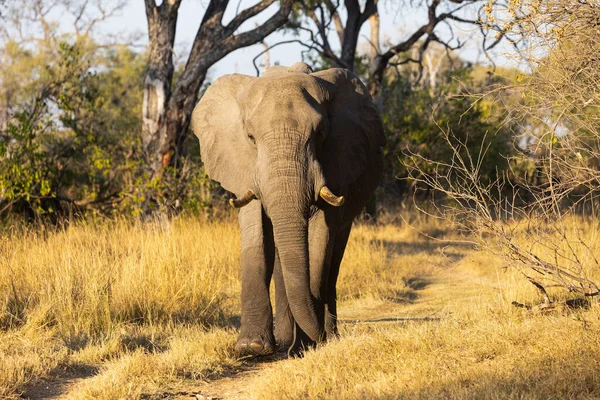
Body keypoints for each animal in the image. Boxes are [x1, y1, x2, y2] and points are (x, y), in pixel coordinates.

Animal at [191, 62, 384, 356]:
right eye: (250, 137)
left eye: (320, 133)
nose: (317, 337)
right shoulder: (245, 169)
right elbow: (257, 235)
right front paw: (252, 347)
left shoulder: (336, 163)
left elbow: (320, 238)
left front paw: (307, 346)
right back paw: (286, 340)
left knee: (334, 258)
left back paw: (325, 336)